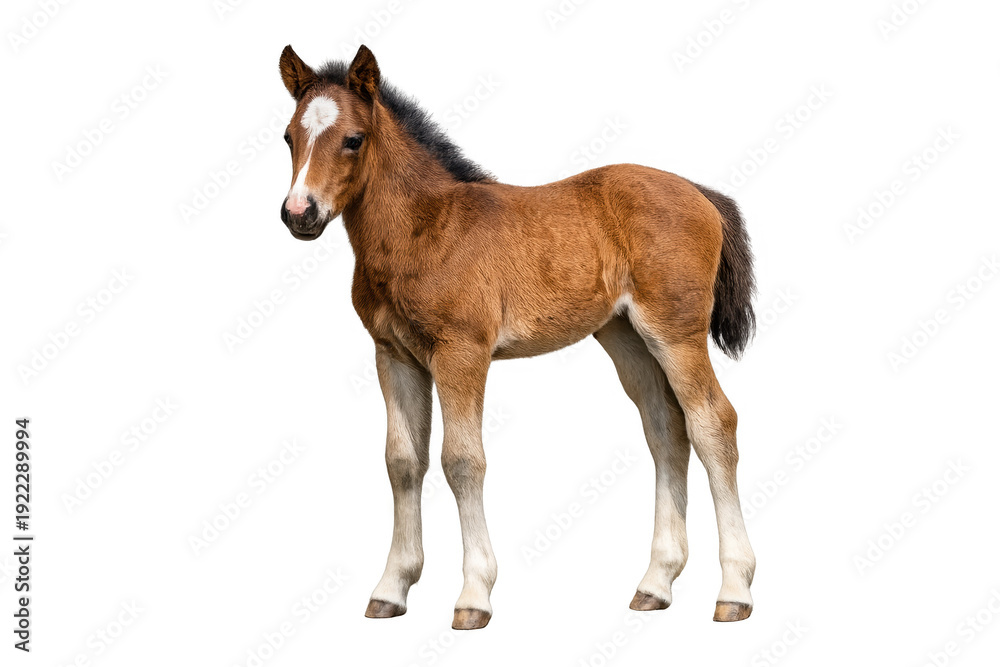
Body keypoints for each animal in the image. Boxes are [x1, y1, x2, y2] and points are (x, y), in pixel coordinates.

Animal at [276, 44, 757, 630]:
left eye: (353, 139)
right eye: (288, 137)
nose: (299, 213)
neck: (424, 228)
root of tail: (701, 194)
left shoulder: (462, 352)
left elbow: (462, 461)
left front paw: (473, 597)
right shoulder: (393, 355)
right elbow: (402, 462)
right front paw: (391, 590)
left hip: (675, 332)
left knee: (714, 423)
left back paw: (734, 591)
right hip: (627, 338)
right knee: (667, 431)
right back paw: (655, 584)